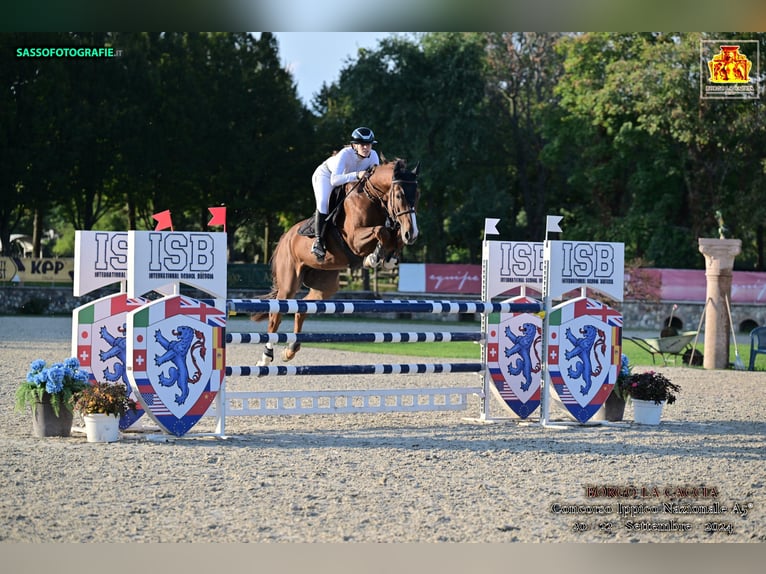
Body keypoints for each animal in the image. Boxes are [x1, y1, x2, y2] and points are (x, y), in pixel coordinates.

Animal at [252, 159, 424, 364]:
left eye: (418, 195)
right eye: (398, 195)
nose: (412, 233)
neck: (372, 198)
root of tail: (285, 238)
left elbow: (394, 236)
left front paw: (389, 257)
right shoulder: (354, 240)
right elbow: (381, 230)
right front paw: (373, 257)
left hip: (325, 285)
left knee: (302, 308)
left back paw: (290, 350)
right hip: (288, 283)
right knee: (276, 314)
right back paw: (266, 356)